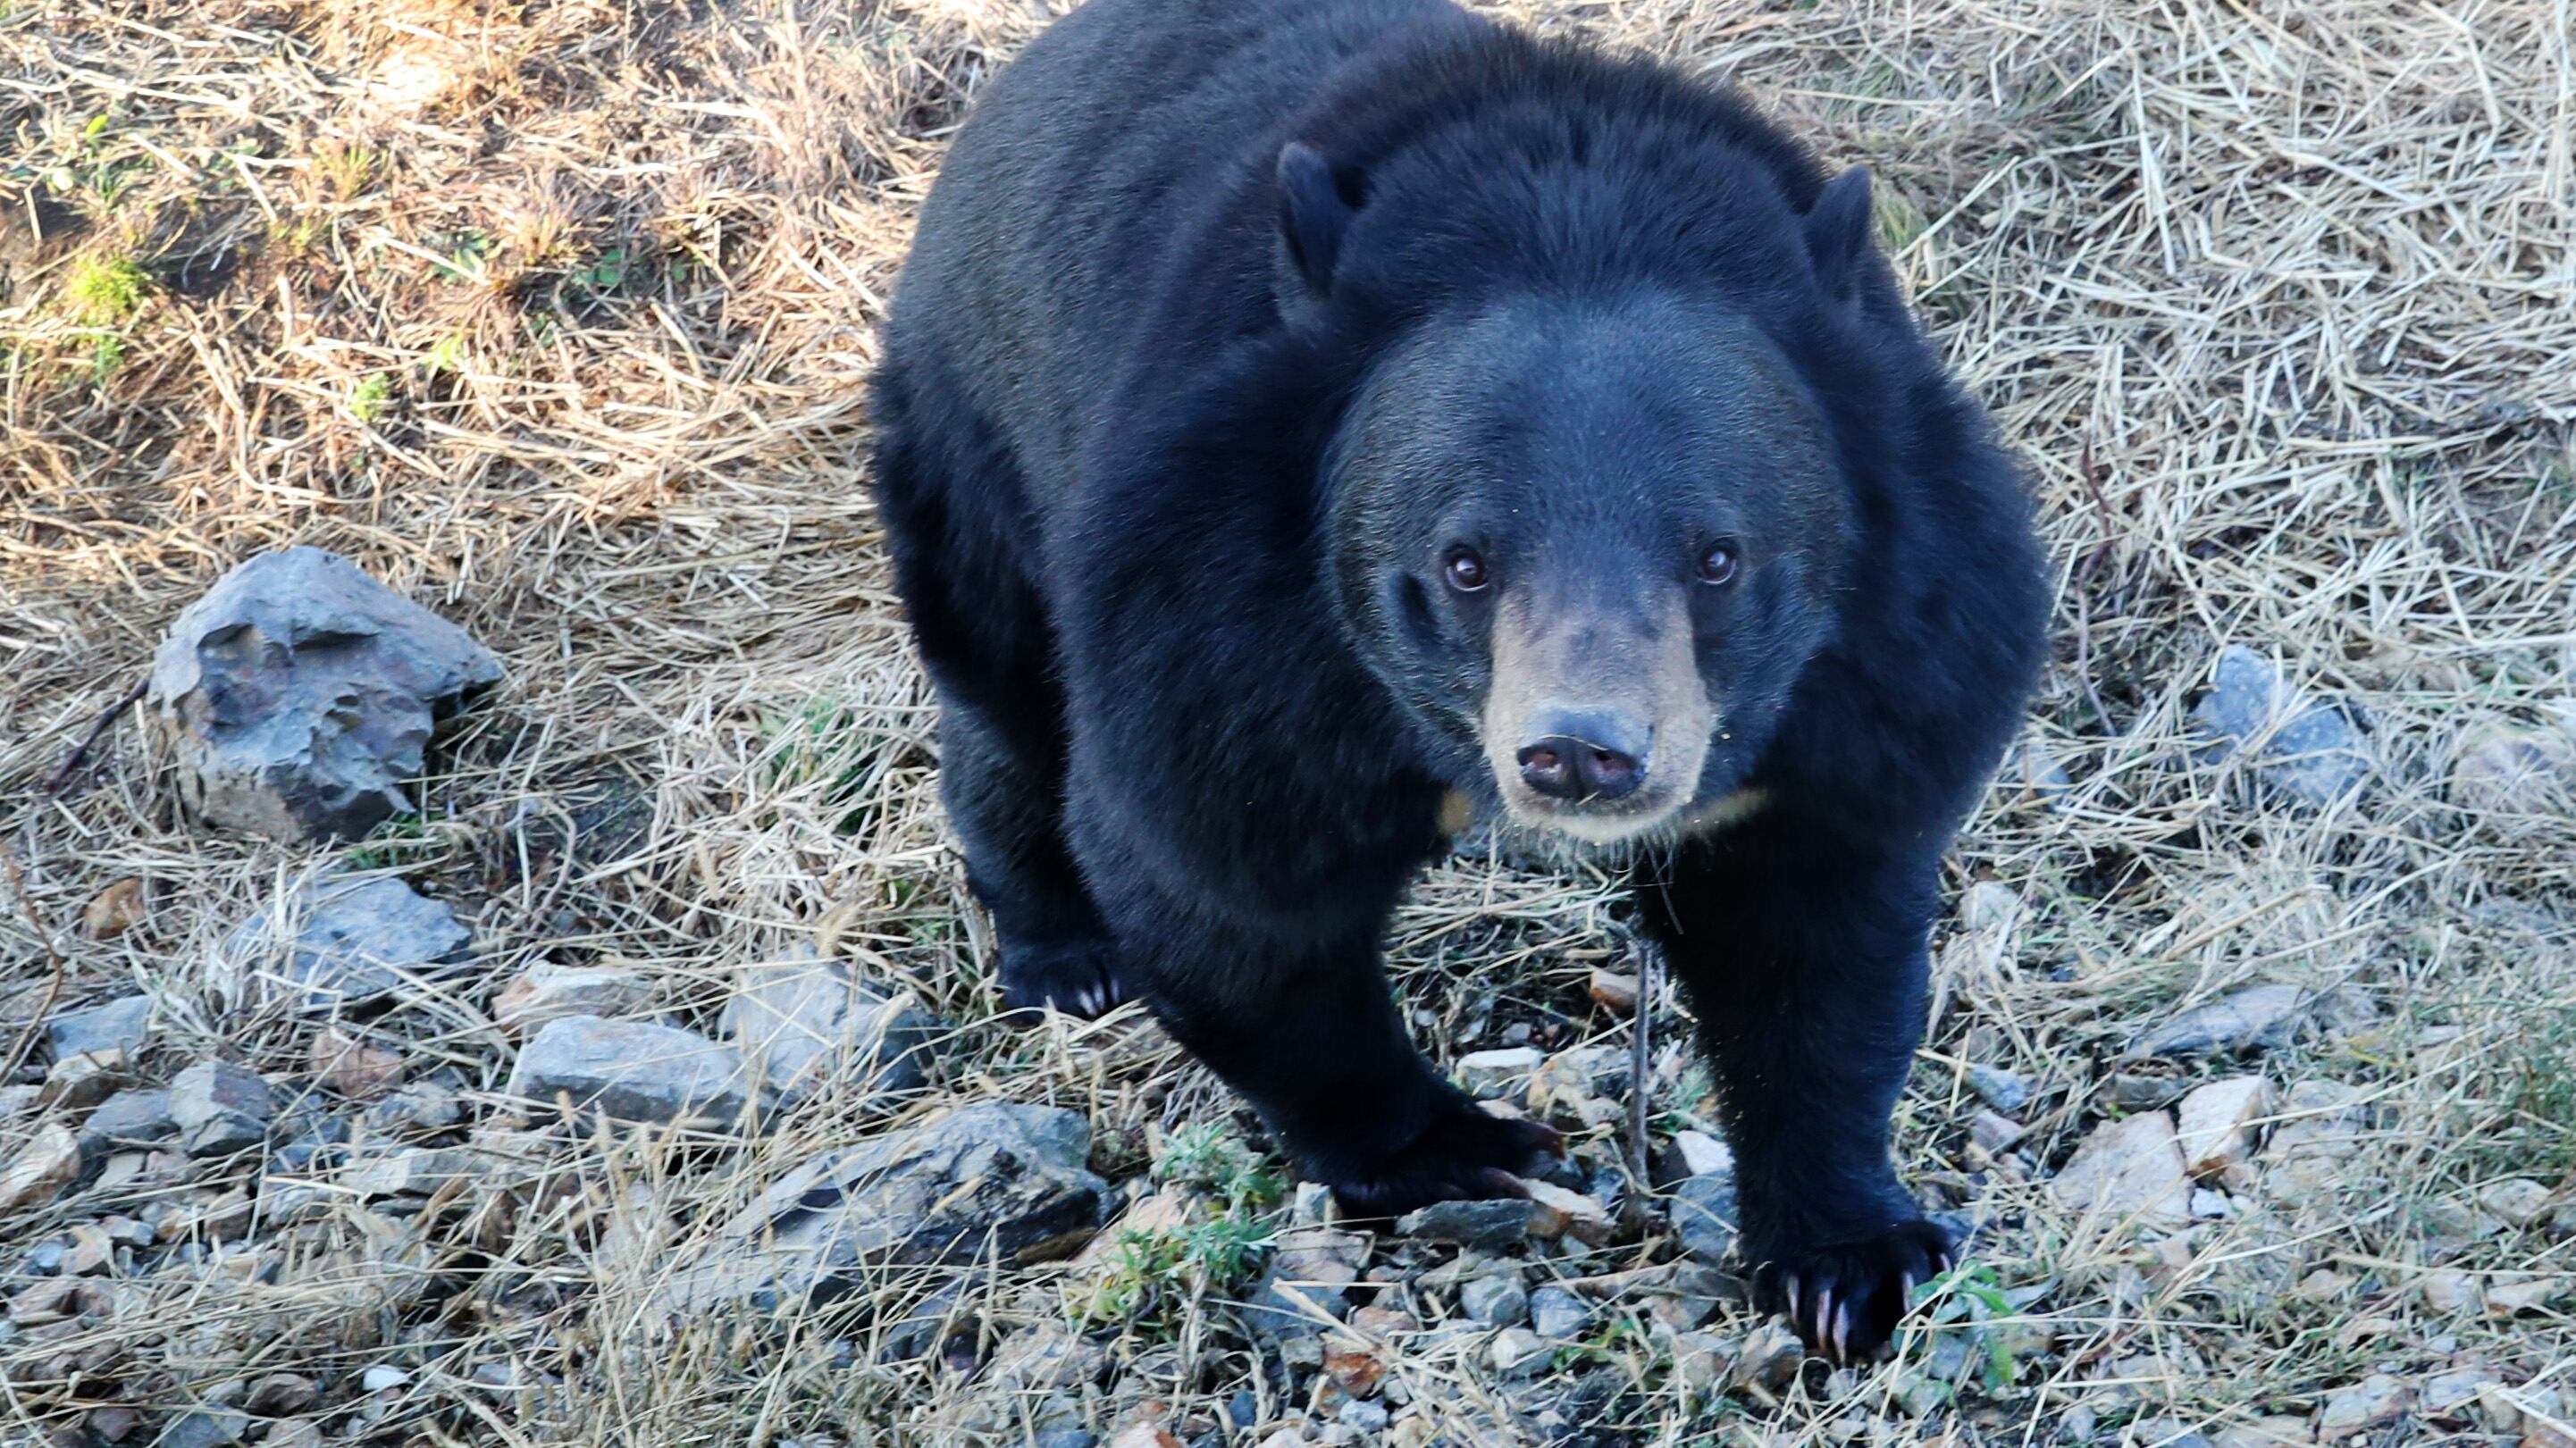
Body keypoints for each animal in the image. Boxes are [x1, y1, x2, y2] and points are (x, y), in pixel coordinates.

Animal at [868, 0, 2049, 1361]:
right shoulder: (1214, 620)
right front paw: (1463, 1148)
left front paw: (1851, 1262)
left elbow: (1814, 942)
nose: (1581, 755)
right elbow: (1222, 890)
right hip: (979, 420)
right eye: (1465, 562)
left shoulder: (1878, 665)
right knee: (1007, 695)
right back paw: (1065, 954)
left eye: (1717, 557)